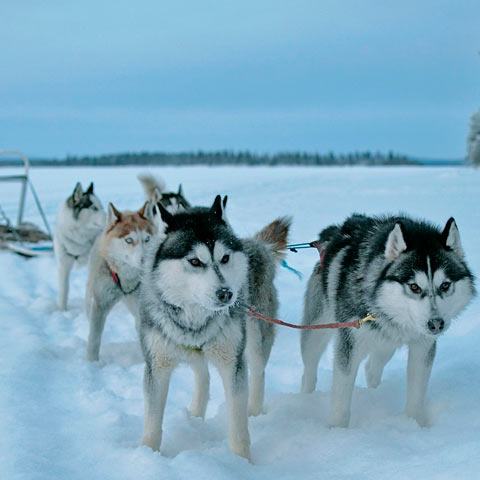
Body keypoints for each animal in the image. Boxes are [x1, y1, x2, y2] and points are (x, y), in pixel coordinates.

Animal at [54, 181, 105, 312]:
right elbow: (64, 289)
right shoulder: (63, 264)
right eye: (94, 208)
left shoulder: (93, 265)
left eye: (102, 206)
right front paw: (62, 310)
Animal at [85, 201, 155, 362]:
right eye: (129, 240)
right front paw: (91, 363)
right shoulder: (100, 305)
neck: (126, 277)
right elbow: (94, 338)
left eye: (147, 239)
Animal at [138, 195, 288, 458]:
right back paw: (196, 415)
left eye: (225, 258)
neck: (196, 317)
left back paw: (255, 412)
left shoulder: (232, 363)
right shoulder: (156, 365)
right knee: (203, 375)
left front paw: (241, 461)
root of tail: (256, 244)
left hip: (255, 337)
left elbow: (238, 426)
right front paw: (147, 454)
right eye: (195, 261)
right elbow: (153, 423)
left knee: (258, 372)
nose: (226, 294)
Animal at [302, 214, 474, 428]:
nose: (436, 324)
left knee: (372, 368)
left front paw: (415, 424)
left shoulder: (422, 347)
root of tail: (334, 232)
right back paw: (305, 397)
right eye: (414, 287)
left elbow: (417, 394)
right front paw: (337, 430)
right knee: (309, 369)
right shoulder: (349, 346)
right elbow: (341, 401)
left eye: (445, 285)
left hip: (386, 344)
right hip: (316, 332)